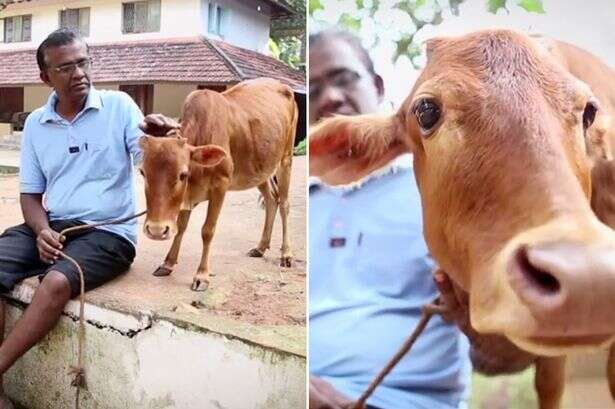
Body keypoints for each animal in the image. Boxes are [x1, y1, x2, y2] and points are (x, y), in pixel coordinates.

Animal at [140, 77, 298, 290]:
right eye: (142, 172)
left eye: (182, 174)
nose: (156, 230)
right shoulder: (187, 198)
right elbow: (181, 227)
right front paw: (168, 263)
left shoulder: (220, 185)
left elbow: (207, 230)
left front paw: (201, 276)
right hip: (259, 169)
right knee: (271, 199)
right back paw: (261, 247)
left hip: (285, 159)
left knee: (284, 204)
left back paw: (286, 254)